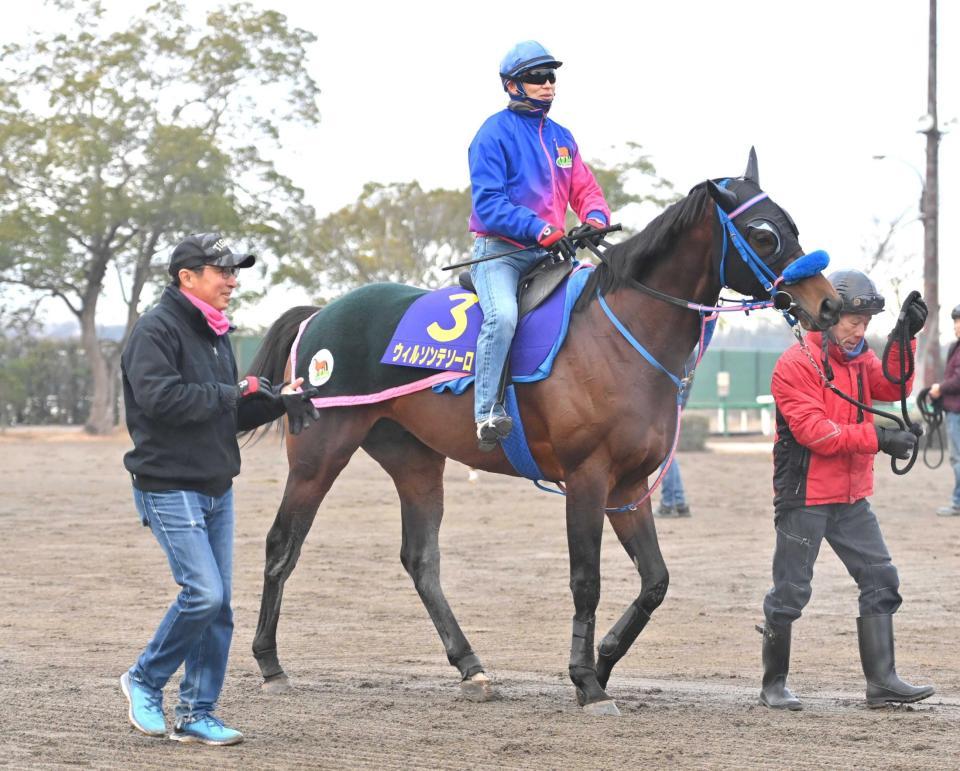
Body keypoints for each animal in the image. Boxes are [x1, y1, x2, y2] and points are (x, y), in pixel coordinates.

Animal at [246, 149, 840, 716]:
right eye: (764, 234)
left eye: (792, 223)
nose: (829, 303)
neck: (618, 336)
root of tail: (318, 313)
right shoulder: (587, 478)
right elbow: (586, 579)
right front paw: (586, 682)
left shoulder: (628, 486)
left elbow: (655, 580)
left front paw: (603, 661)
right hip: (319, 454)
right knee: (282, 543)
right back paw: (270, 663)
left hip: (415, 460)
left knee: (421, 560)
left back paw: (471, 666)